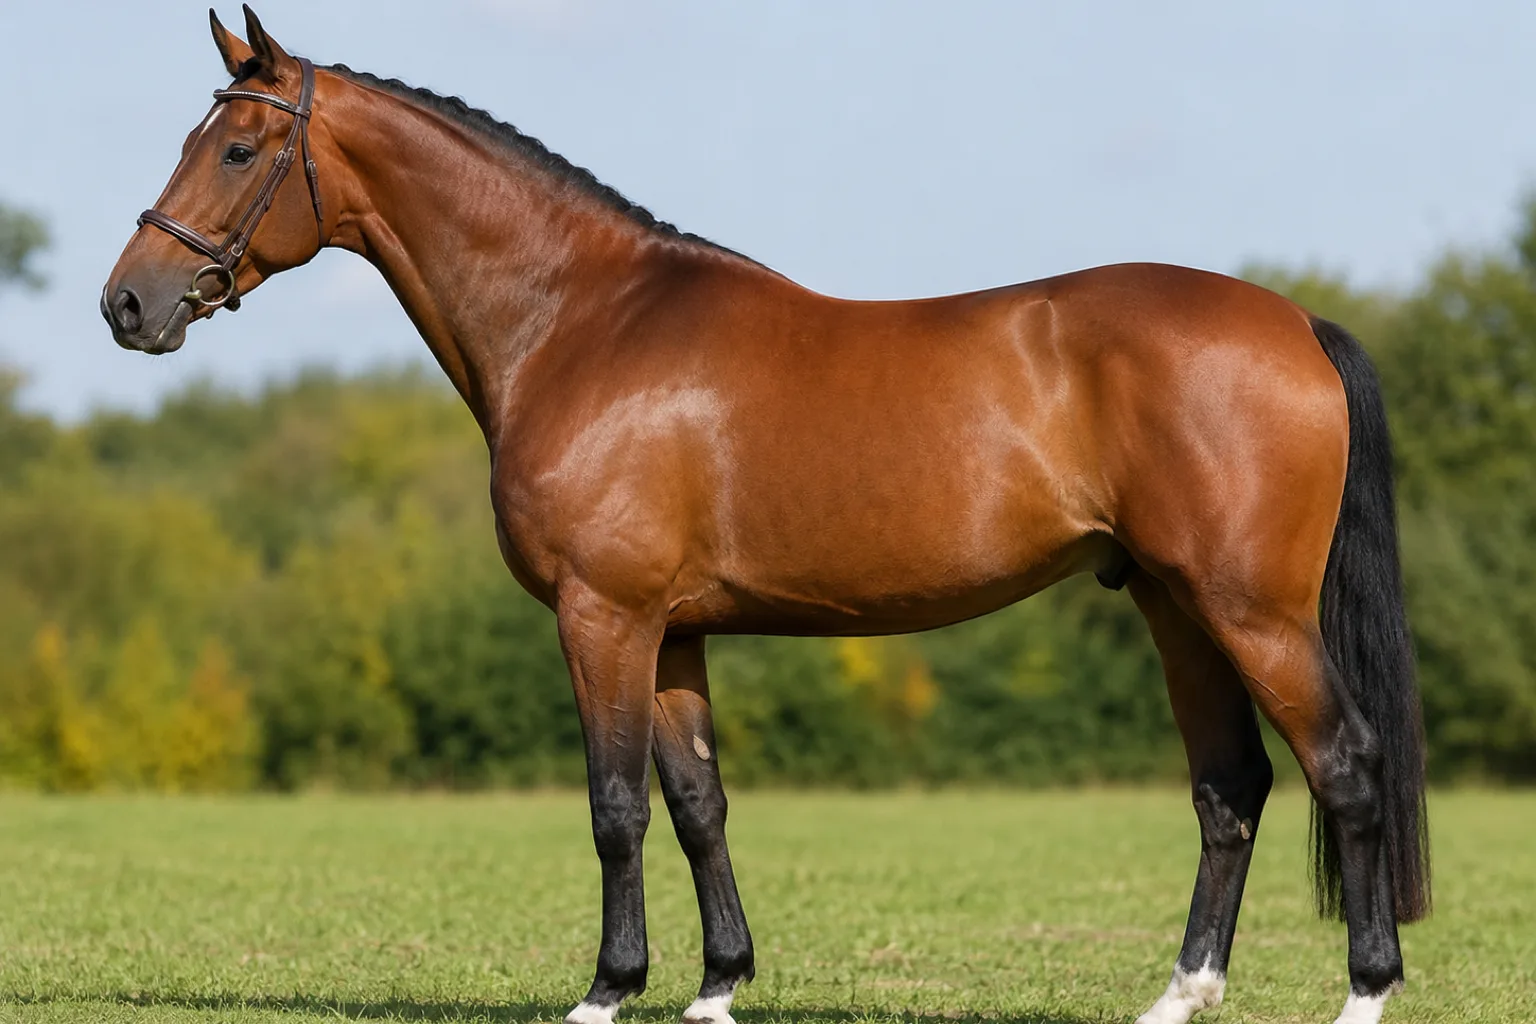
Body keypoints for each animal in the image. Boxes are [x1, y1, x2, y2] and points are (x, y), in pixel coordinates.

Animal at [102, 9, 1430, 1024]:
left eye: (236, 149)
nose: (129, 304)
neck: (582, 322)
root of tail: (1296, 322)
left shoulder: (604, 616)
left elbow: (617, 807)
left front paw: (606, 989)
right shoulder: (674, 629)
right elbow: (699, 805)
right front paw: (716, 986)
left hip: (1251, 610)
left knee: (1346, 764)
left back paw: (1364, 991)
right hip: (1173, 604)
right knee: (1231, 785)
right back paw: (1179, 994)